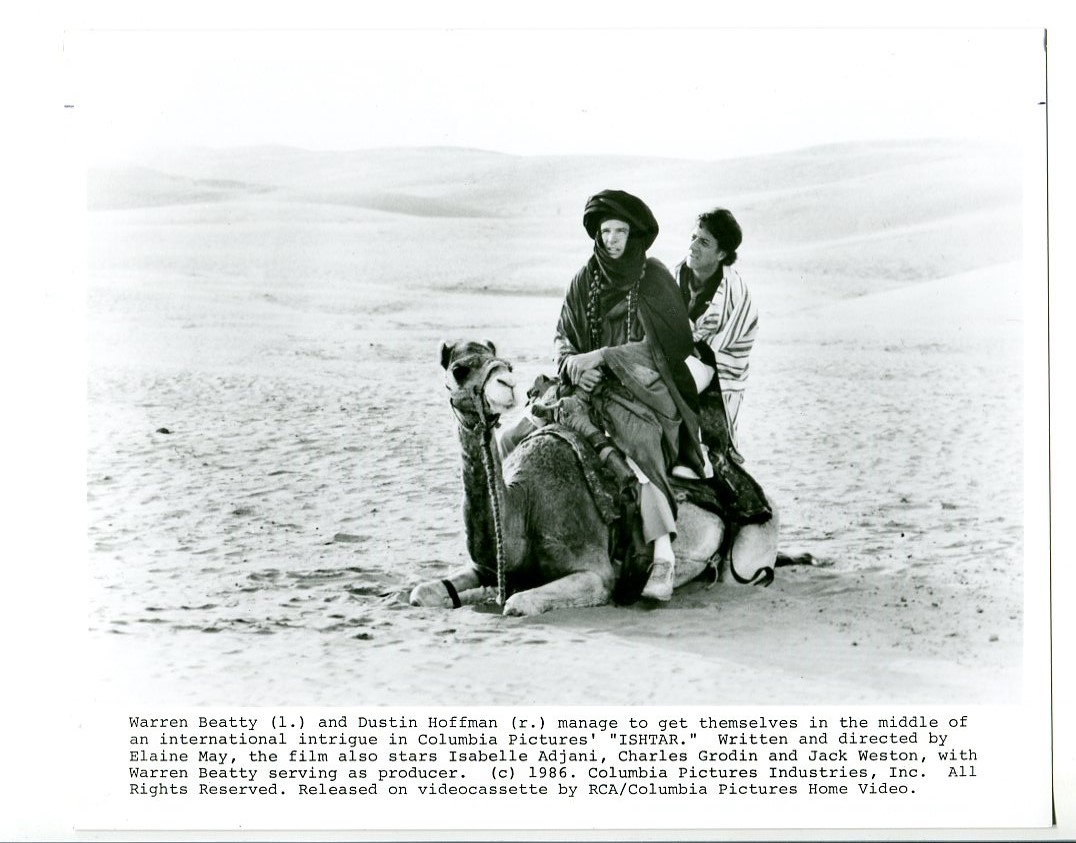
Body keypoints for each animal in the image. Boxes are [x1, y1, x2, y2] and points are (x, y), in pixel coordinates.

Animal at [409, 340, 787, 617]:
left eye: (507, 364)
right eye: (459, 369)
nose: (507, 385)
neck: (524, 505)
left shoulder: (595, 574)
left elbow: (516, 603)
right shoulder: (488, 565)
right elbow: (421, 592)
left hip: (747, 556)